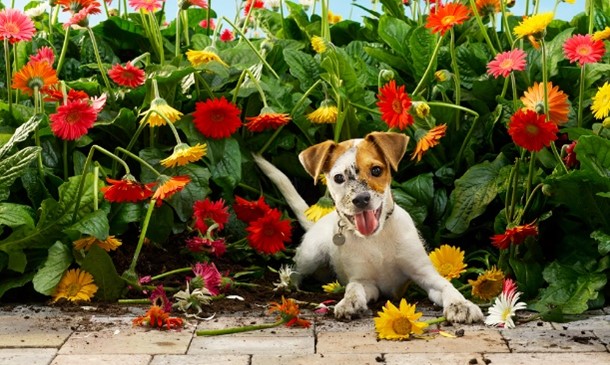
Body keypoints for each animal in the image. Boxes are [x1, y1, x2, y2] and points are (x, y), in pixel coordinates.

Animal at [252, 131, 480, 322]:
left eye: (376, 170)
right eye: (338, 178)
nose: (361, 199)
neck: (376, 239)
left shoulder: (424, 275)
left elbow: (447, 286)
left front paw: (461, 305)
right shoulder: (365, 281)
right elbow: (353, 289)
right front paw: (349, 303)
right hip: (310, 256)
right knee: (296, 271)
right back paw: (287, 286)